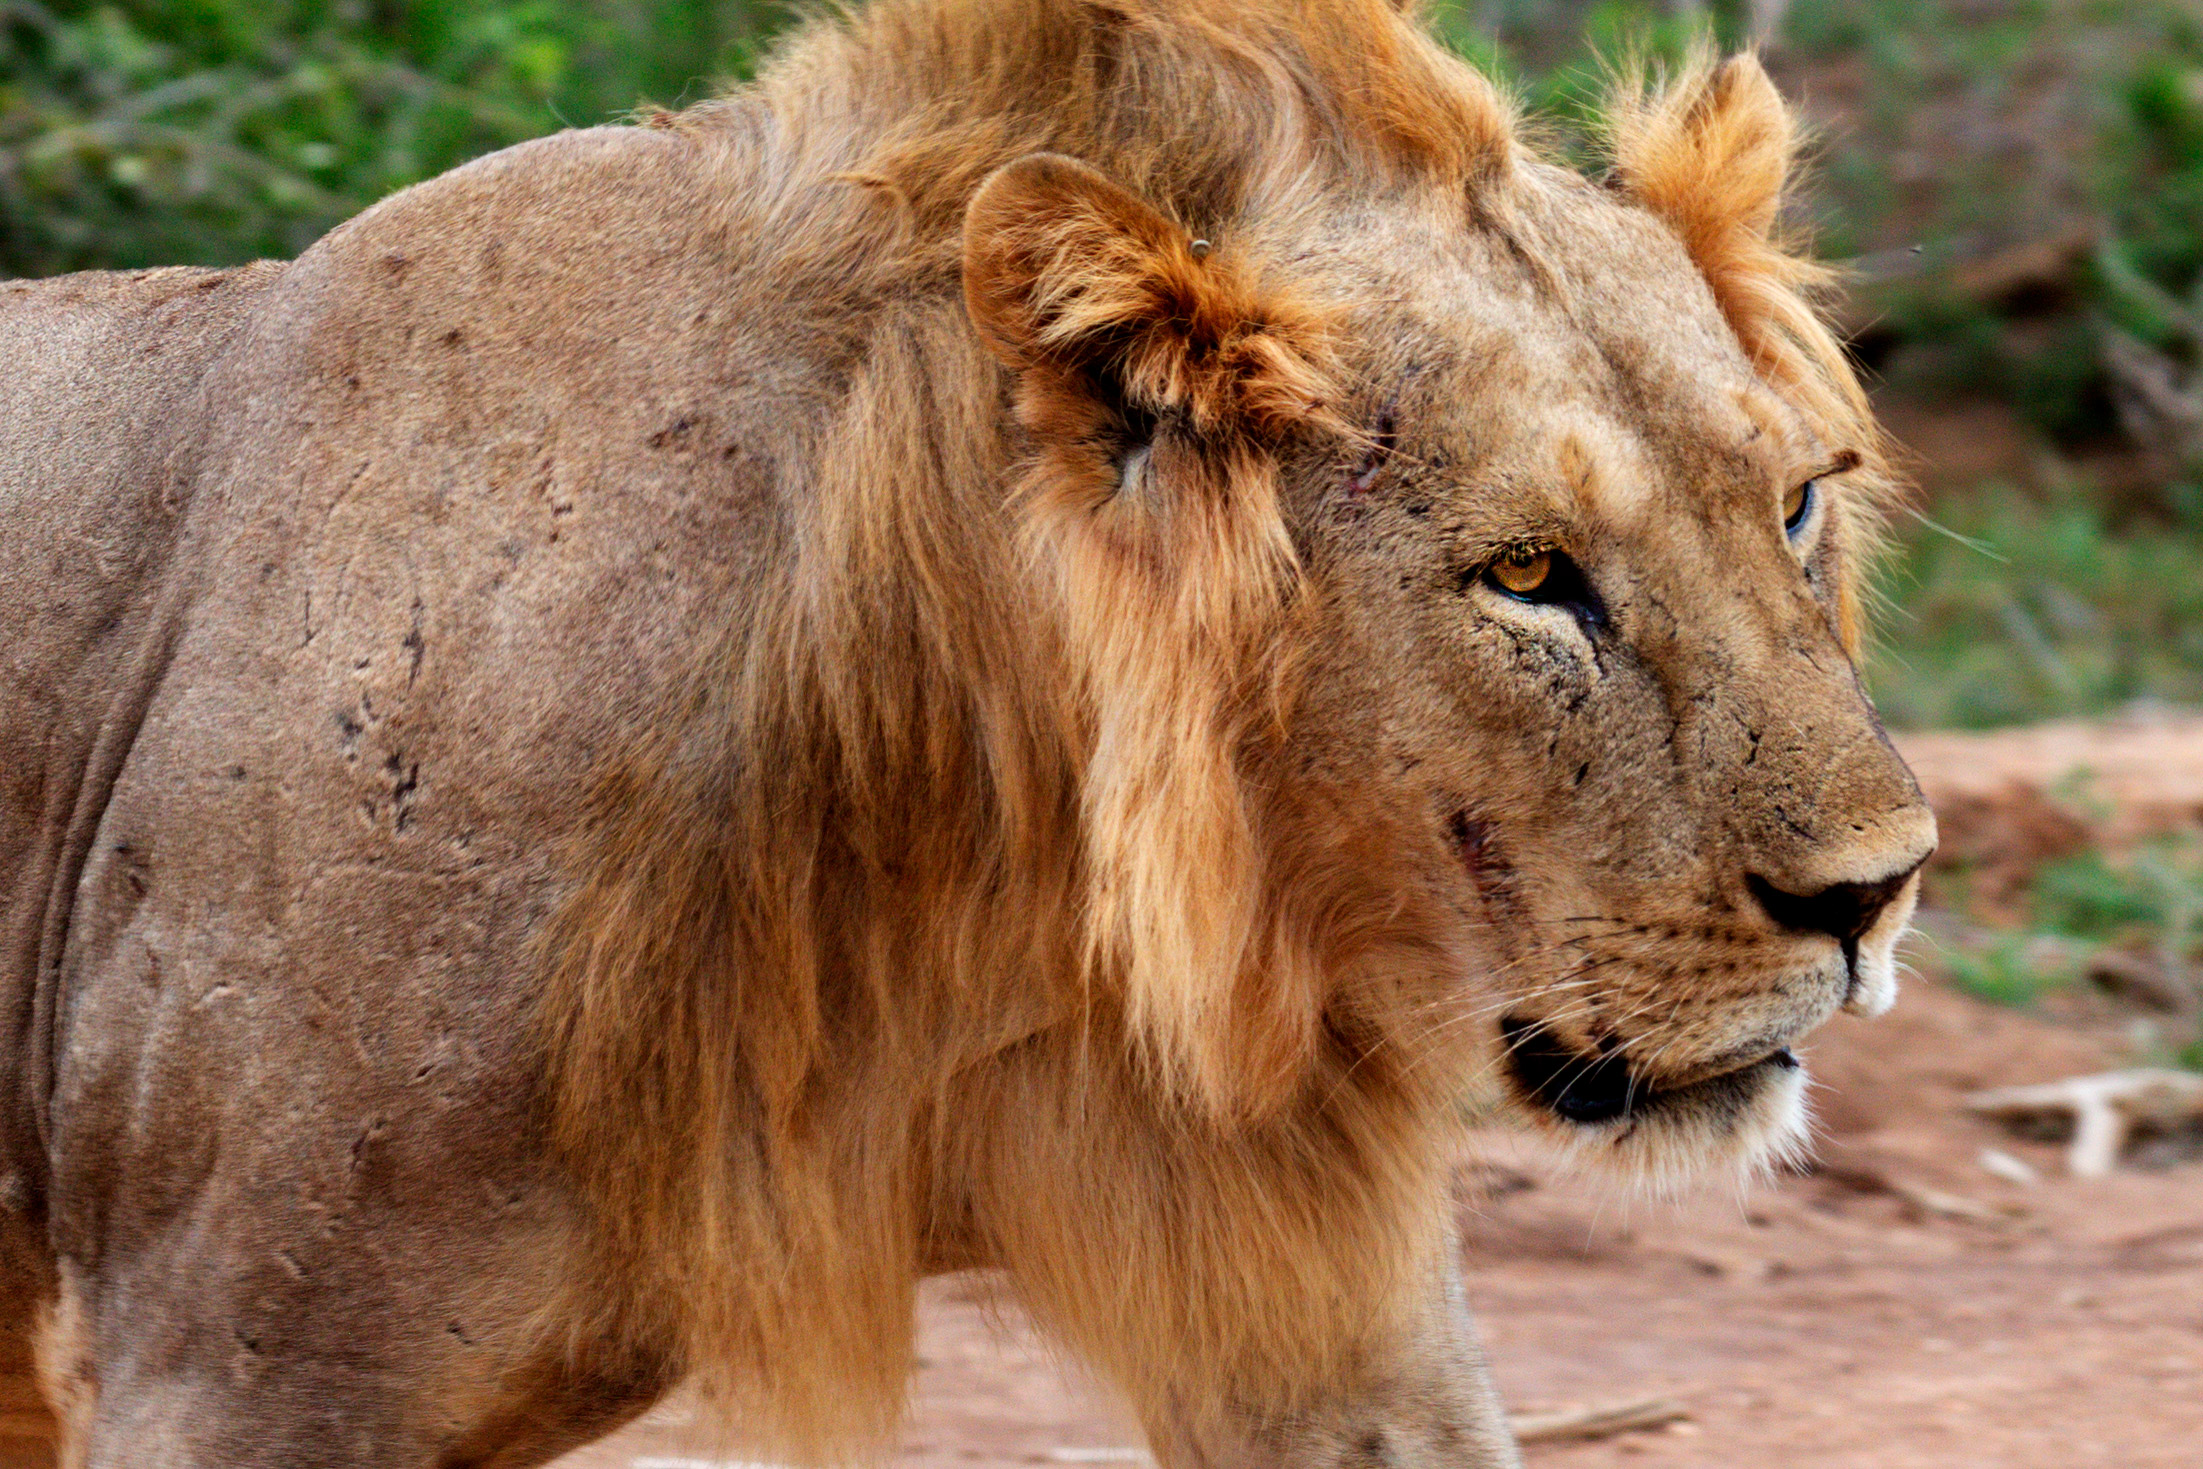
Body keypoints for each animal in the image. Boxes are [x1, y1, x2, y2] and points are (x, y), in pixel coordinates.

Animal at [0, 0, 1934, 1463]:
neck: (989, 879)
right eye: (1528, 574)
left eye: (1789, 508)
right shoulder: (230, 1368)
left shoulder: (1310, 1297)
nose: (1877, 892)